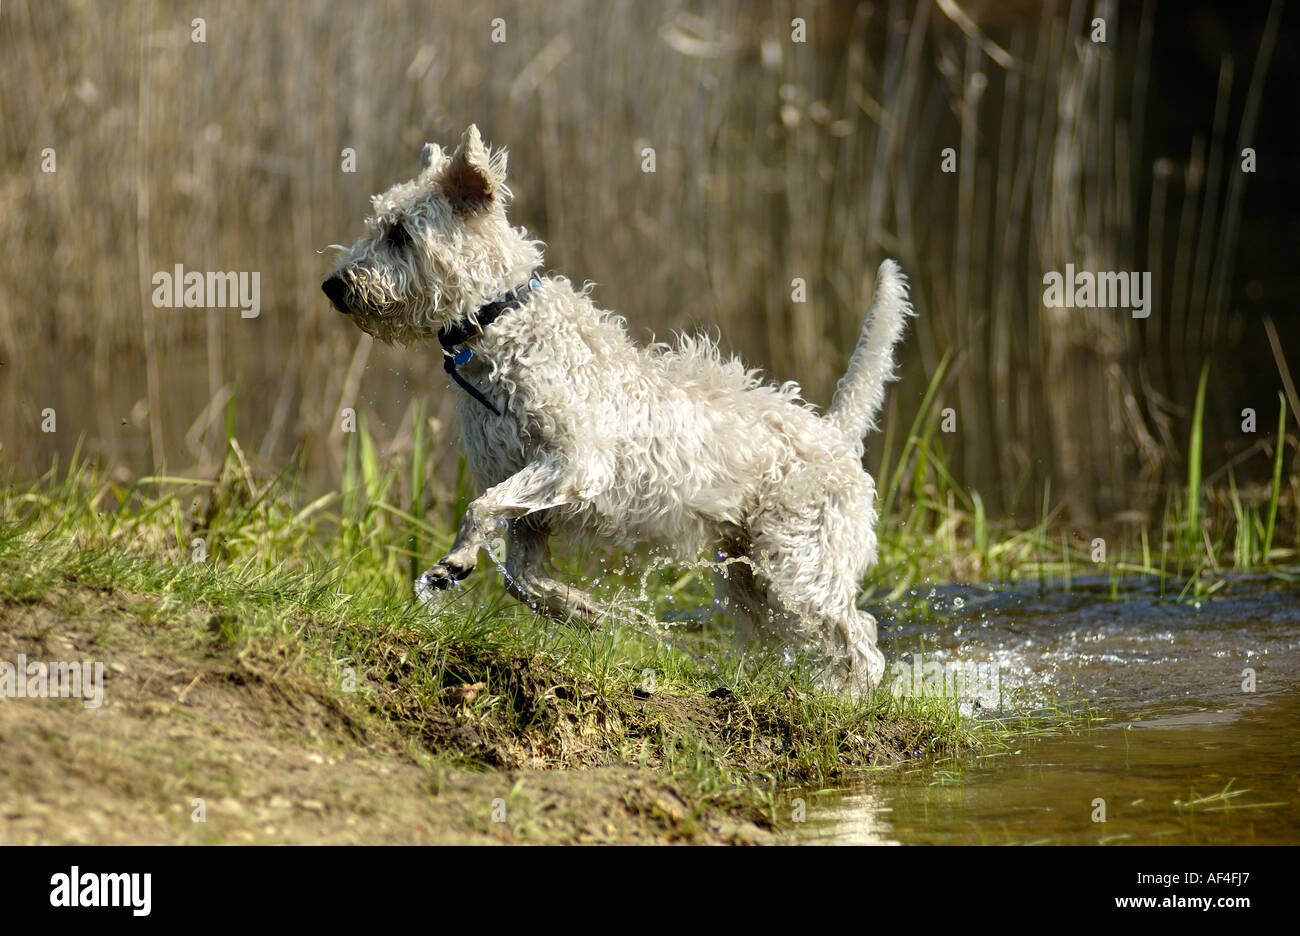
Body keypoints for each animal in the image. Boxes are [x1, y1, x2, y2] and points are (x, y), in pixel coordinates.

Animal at [325, 126, 915, 696]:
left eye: (400, 232)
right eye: (380, 222)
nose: (333, 285)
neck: (498, 325)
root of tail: (835, 435)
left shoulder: (572, 463)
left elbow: (480, 510)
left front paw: (459, 559)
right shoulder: (528, 503)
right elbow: (524, 579)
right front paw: (586, 612)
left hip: (800, 566)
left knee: (863, 640)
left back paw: (845, 702)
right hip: (755, 579)